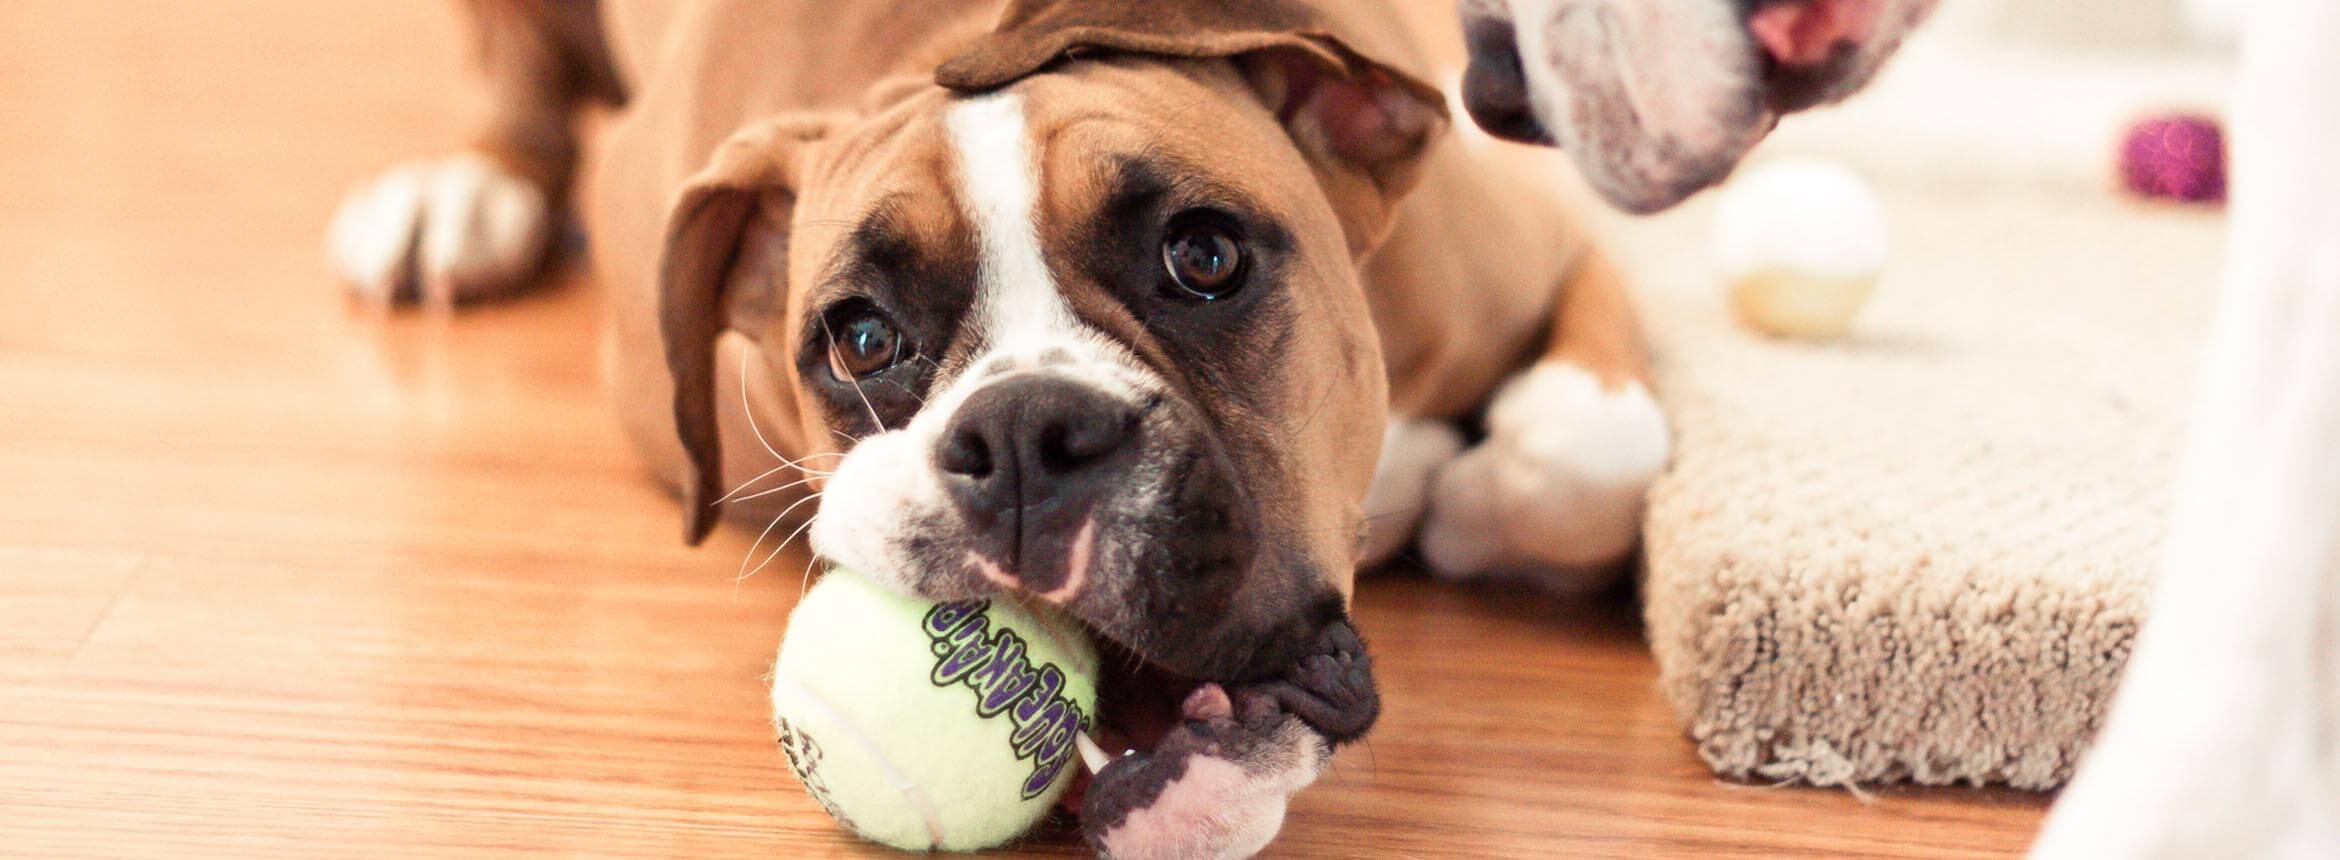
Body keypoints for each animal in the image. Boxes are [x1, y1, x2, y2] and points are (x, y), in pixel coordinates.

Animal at [329, 0, 1675, 855]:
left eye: (1204, 255)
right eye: (860, 338)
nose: (1027, 433)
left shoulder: (1560, 239)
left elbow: (1585, 452)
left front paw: (1465, 491)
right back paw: (470, 188)